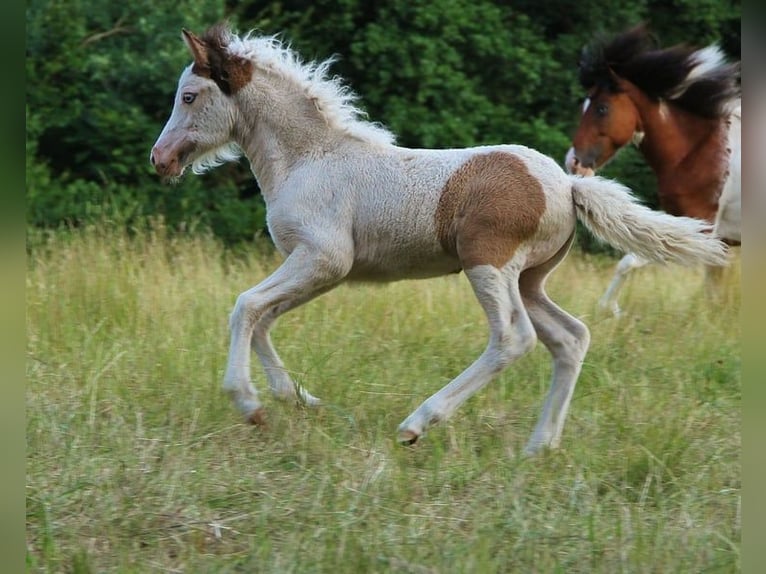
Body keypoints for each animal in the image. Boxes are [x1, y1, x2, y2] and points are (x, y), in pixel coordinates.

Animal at [565, 23, 741, 316]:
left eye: (602, 108)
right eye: (584, 106)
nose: (573, 162)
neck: (697, 151)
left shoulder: (702, 230)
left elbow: (634, 258)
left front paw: (610, 310)